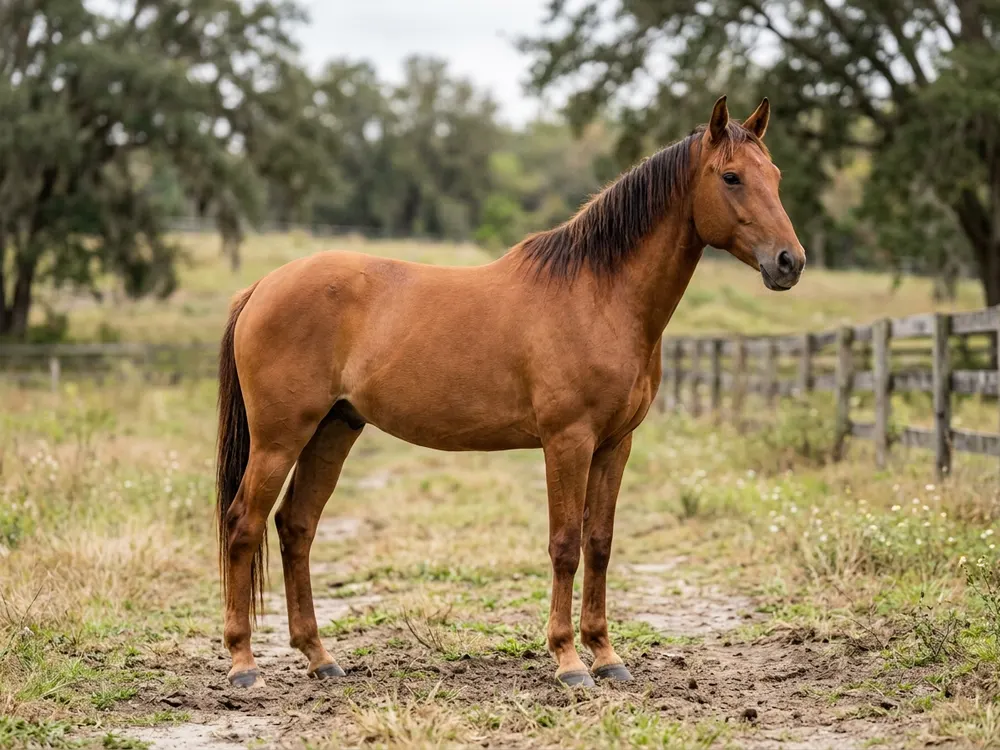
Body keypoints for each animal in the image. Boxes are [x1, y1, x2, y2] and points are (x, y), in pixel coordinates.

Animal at [215, 96, 805, 689]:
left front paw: (606, 655)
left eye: (777, 176)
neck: (599, 296)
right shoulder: (568, 441)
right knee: (243, 524)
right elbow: (564, 545)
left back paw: (320, 658)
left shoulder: (616, 445)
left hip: (334, 429)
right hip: (280, 438)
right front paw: (569, 661)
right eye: (730, 177)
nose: (789, 262)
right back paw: (244, 665)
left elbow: (600, 544)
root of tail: (261, 287)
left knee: (296, 527)